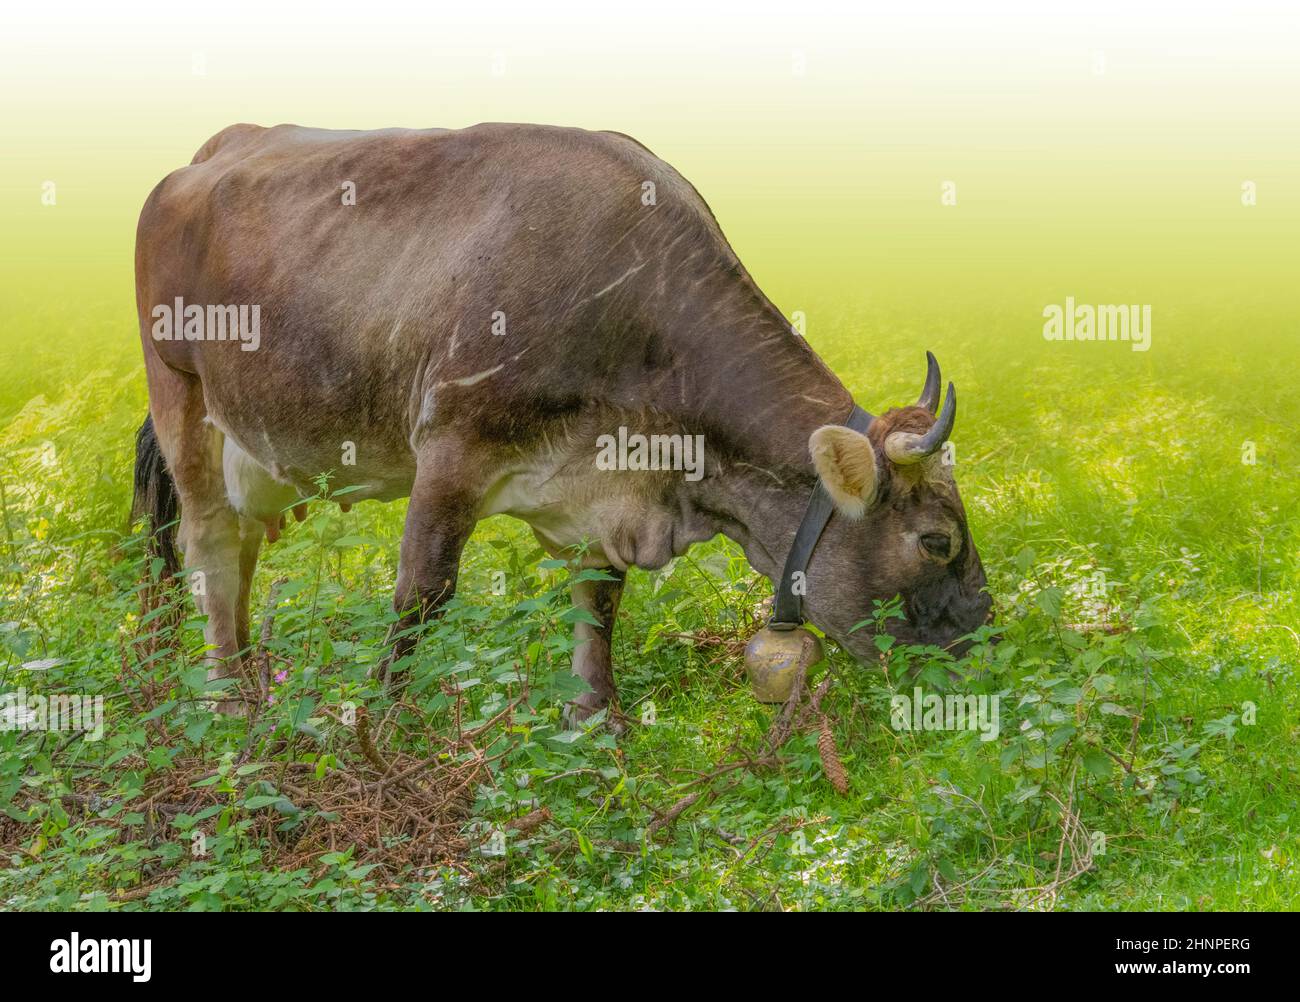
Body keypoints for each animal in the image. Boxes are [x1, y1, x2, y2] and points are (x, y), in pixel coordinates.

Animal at [131, 122, 992, 722]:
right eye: (937, 541)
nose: (983, 637)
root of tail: (216, 148)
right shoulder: (451, 446)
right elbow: (421, 595)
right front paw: (383, 726)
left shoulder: (602, 496)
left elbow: (599, 601)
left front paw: (595, 716)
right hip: (182, 393)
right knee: (211, 546)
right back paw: (226, 698)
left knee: (241, 547)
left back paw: (247, 681)